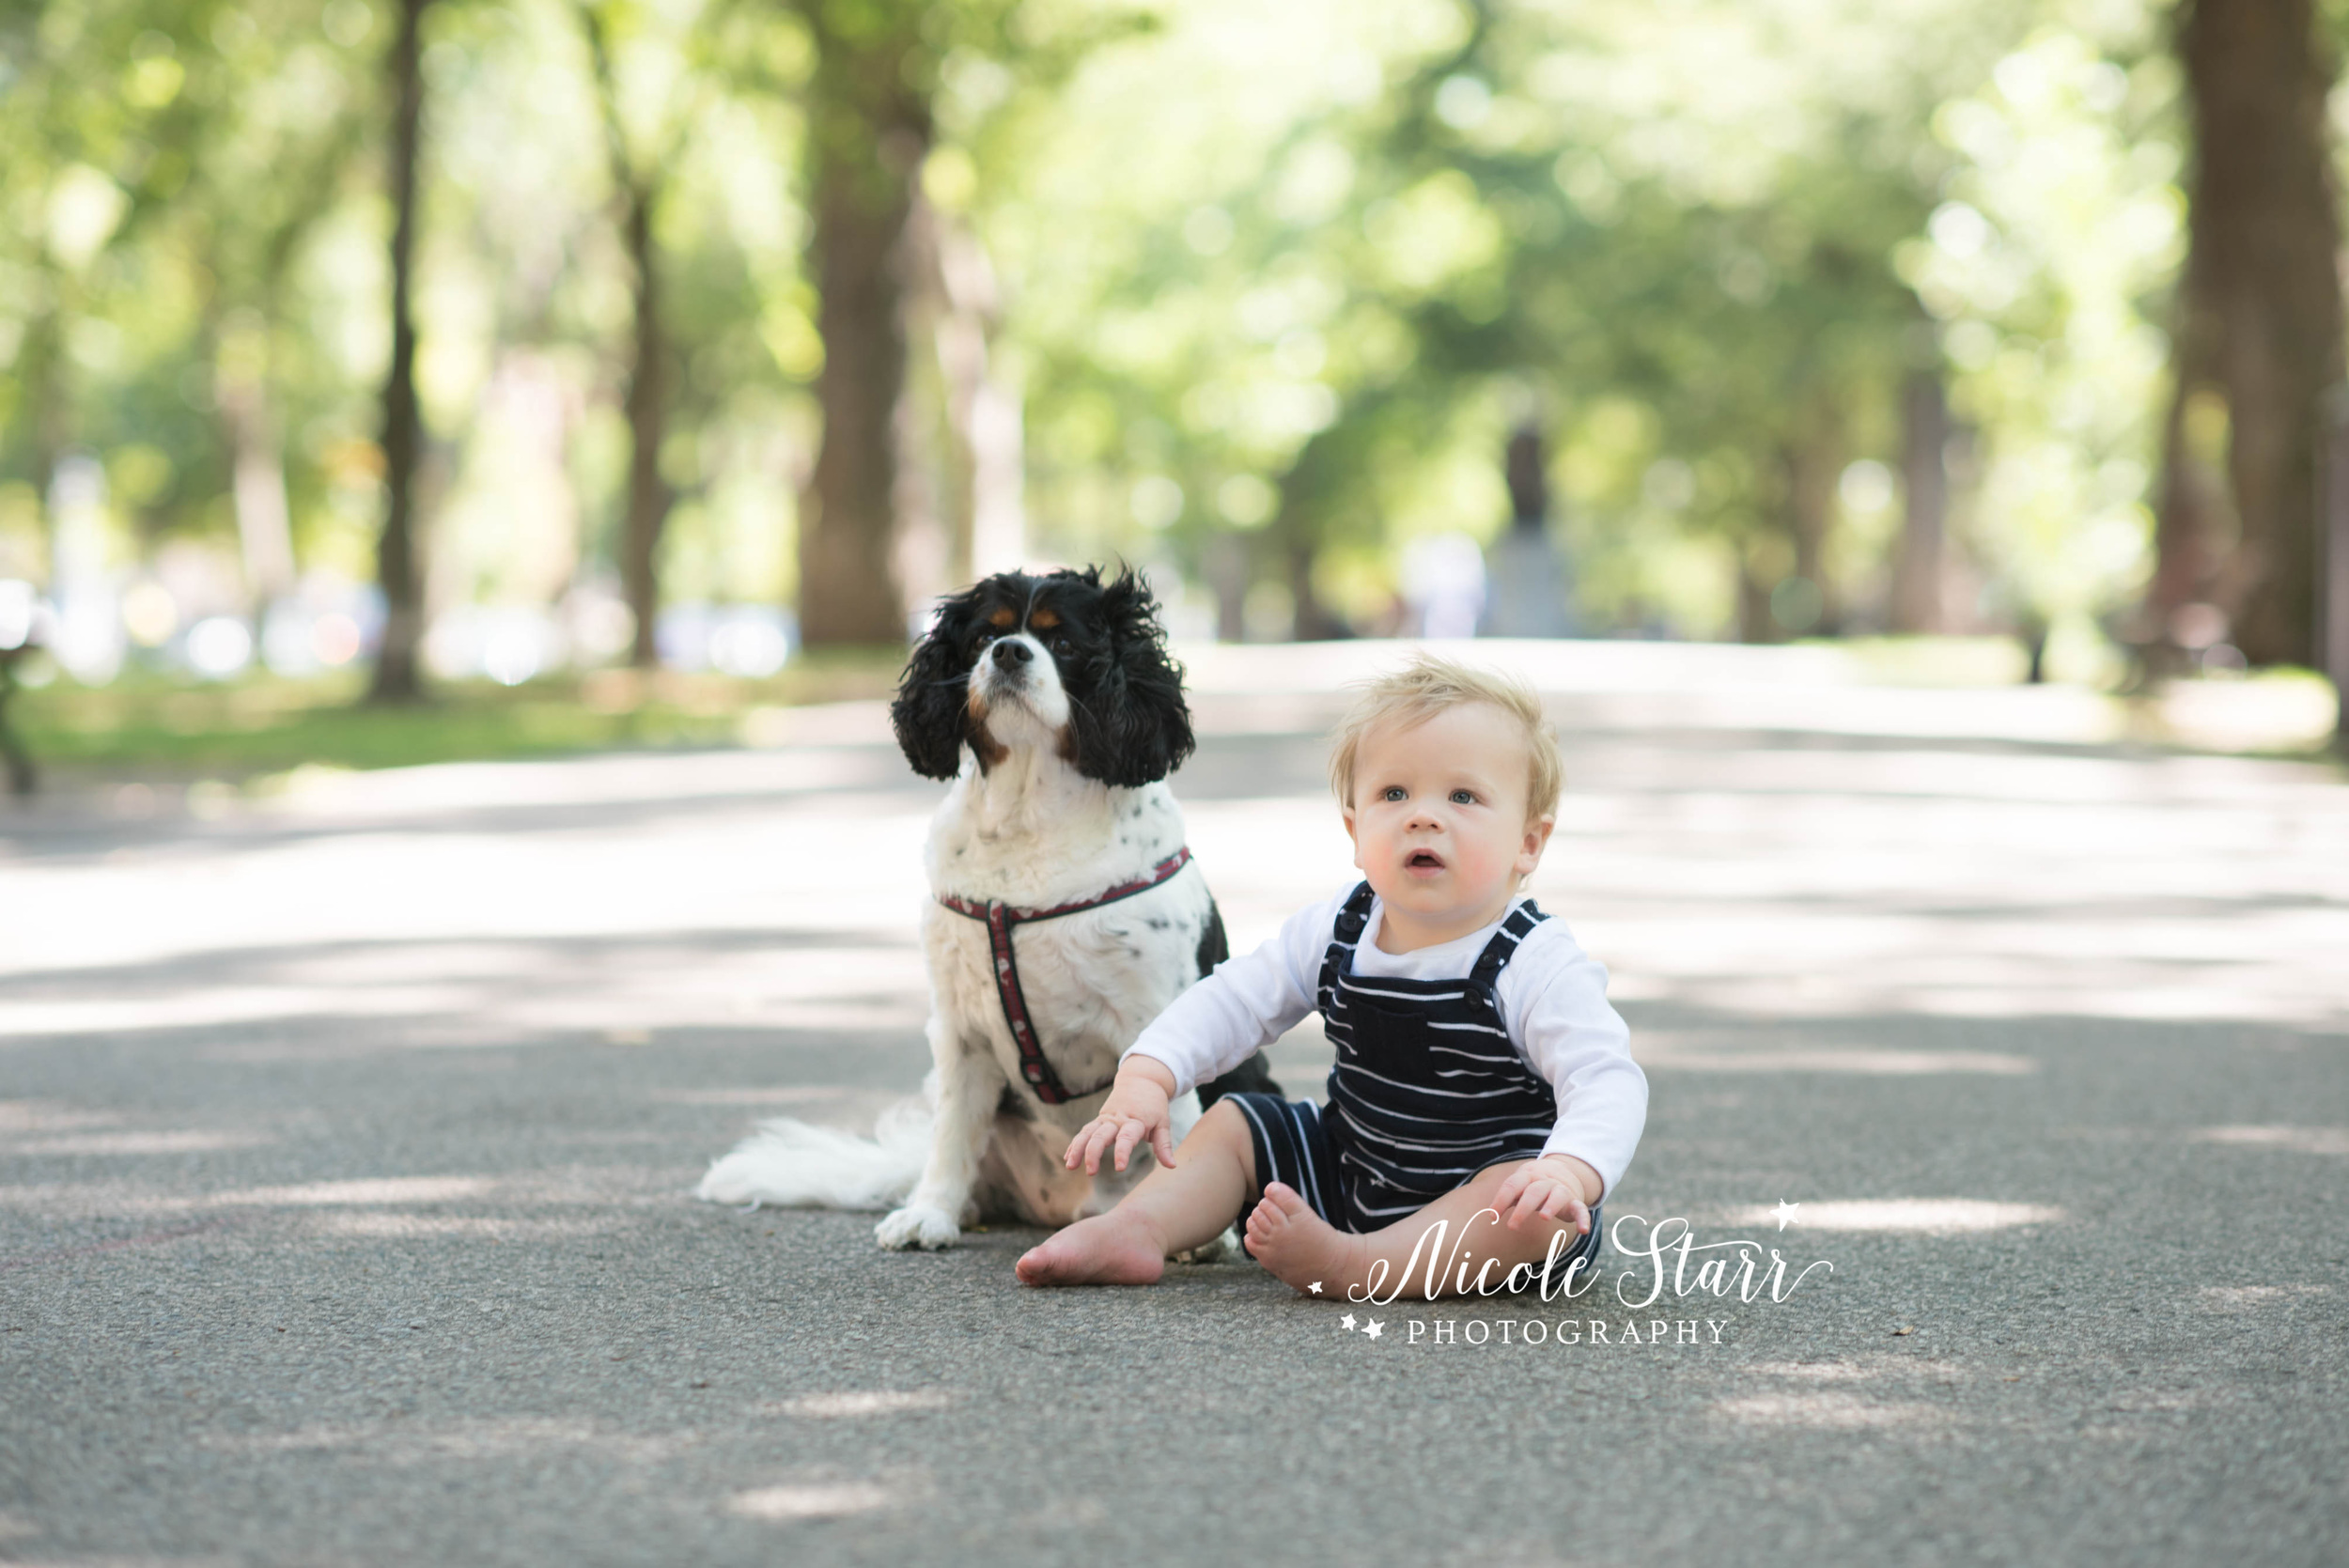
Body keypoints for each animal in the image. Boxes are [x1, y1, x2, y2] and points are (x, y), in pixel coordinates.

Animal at [691, 563, 1278, 1249]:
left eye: (1065, 642)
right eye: (982, 638)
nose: (1009, 653)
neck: (1028, 816)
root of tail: (1075, 1205)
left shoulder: (1158, 1011)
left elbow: (1175, 1118)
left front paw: (1198, 1230)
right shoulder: (960, 1029)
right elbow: (952, 1132)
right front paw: (930, 1213)